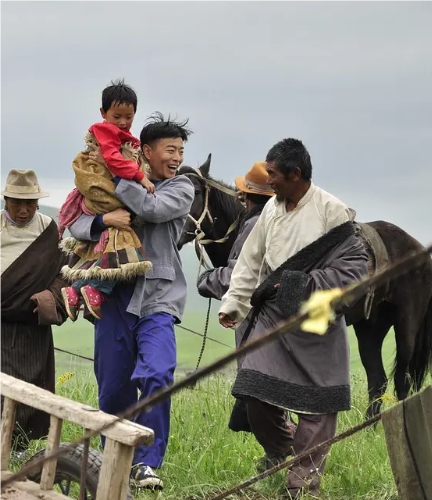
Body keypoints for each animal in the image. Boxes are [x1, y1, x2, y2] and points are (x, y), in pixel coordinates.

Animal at [177, 153, 432, 418]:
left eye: (196, 191)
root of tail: (419, 250)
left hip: (406, 324)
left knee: (402, 380)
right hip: (370, 326)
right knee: (377, 379)